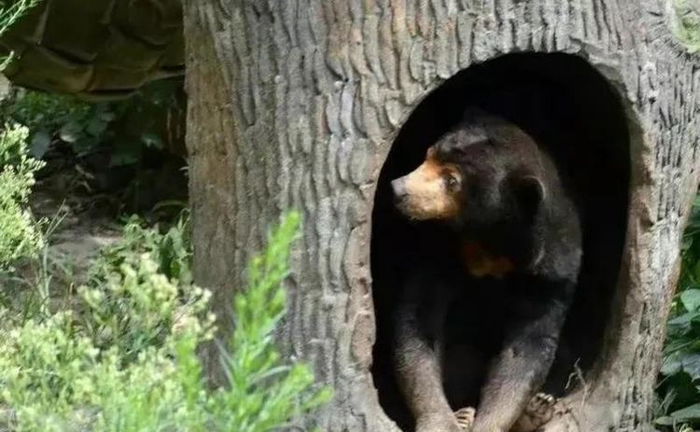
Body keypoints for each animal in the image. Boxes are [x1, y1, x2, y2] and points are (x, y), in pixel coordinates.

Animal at [390, 108, 582, 432]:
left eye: (452, 180)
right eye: (428, 155)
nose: (398, 189)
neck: (489, 243)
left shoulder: (551, 271)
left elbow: (526, 349)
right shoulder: (437, 249)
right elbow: (418, 319)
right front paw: (443, 420)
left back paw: (537, 409)